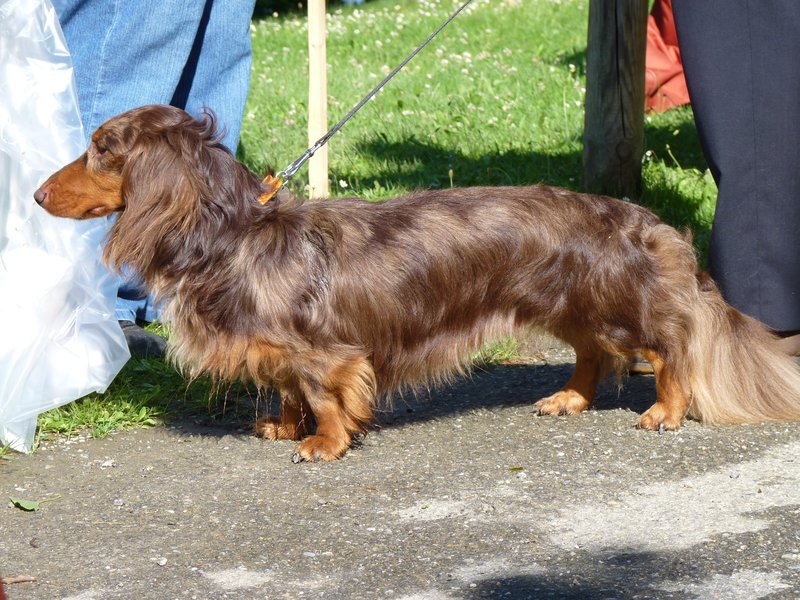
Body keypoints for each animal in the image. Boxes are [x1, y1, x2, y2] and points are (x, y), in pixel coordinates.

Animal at [34, 104, 800, 460]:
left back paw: (666, 410)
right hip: (567, 303)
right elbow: (286, 387)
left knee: (668, 348)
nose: (37, 195)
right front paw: (283, 425)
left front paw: (323, 442)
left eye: (100, 149)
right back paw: (568, 399)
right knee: (591, 354)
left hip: (615, 303)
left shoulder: (326, 352)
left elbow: (324, 393)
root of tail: (644, 218)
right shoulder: (281, 350)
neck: (235, 234)